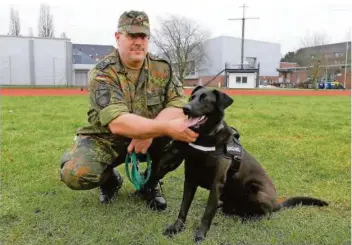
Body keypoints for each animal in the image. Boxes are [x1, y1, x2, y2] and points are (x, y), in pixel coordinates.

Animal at [162, 85, 328, 241]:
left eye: (204, 99)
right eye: (192, 97)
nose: (185, 108)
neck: (205, 138)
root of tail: (277, 203)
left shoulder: (217, 183)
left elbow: (207, 213)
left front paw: (201, 234)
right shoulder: (190, 179)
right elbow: (183, 207)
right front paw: (176, 227)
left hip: (256, 190)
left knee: (266, 214)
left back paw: (250, 218)